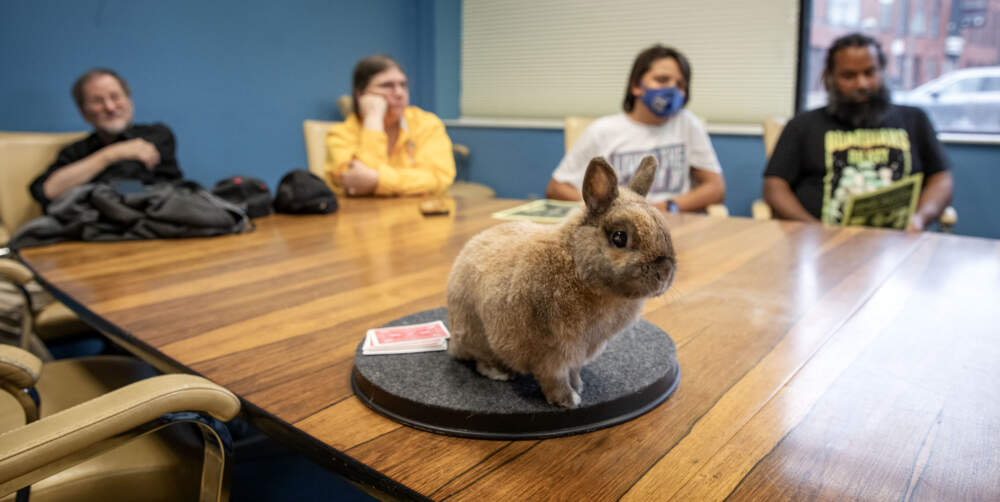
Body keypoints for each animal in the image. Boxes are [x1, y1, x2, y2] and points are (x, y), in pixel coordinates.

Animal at [448, 157, 676, 408]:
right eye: (619, 237)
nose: (665, 274)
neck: (575, 263)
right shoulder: (552, 351)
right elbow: (554, 377)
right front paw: (568, 399)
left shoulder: (579, 352)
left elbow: (573, 371)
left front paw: (578, 385)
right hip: (477, 333)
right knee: (480, 359)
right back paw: (499, 372)